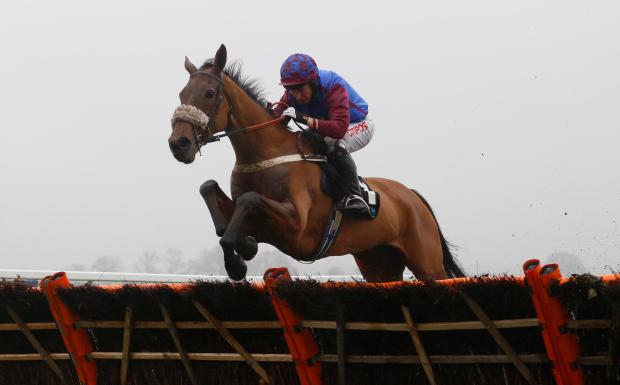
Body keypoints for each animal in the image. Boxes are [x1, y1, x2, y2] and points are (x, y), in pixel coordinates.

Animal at [167, 44, 462, 282]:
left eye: (209, 92)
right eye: (181, 94)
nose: (179, 143)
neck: (266, 154)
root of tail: (412, 195)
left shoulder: (296, 229)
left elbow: (249, 199)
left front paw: (241, 257)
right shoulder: (261, 225)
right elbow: (210, 193)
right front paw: (242, 249)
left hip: (427, 262)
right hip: (378, 263)